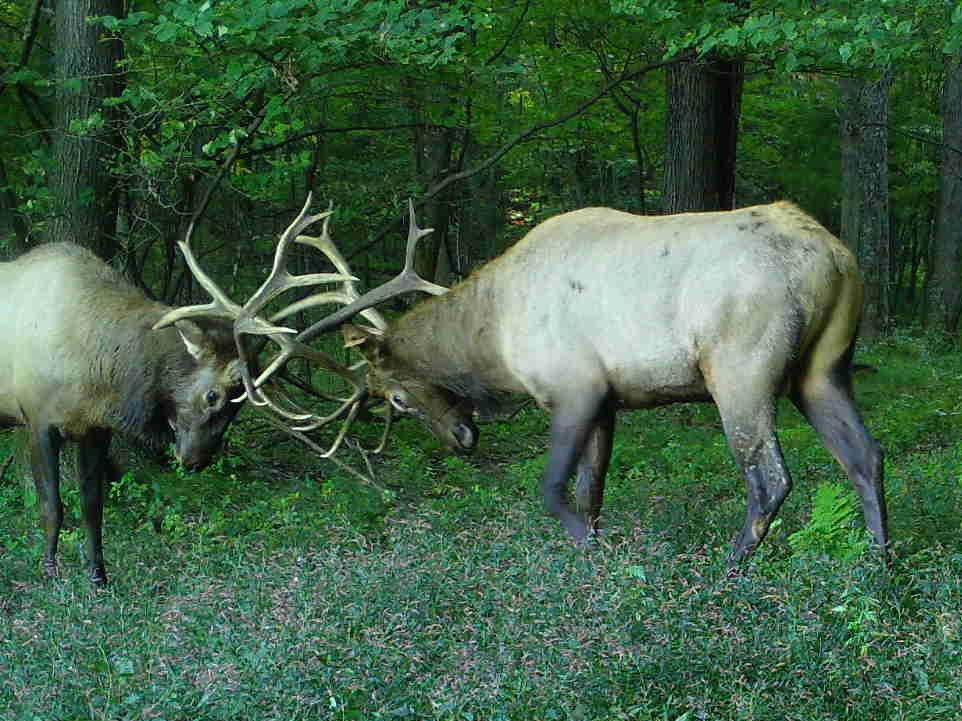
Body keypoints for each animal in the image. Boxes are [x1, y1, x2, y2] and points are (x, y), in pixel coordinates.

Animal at [163, 197, 884, 564]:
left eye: (396, 396)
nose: (461, 438)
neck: (495, 339)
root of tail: (838, 257)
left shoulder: (574, 386)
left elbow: (552, 489)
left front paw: (596, 558)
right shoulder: (611, 399)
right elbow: (592, 491)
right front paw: (595, 551)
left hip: (741, 366)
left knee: (770, 477)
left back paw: (732, 568)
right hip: (823, 367)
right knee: (866, 456)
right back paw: (878, 564)